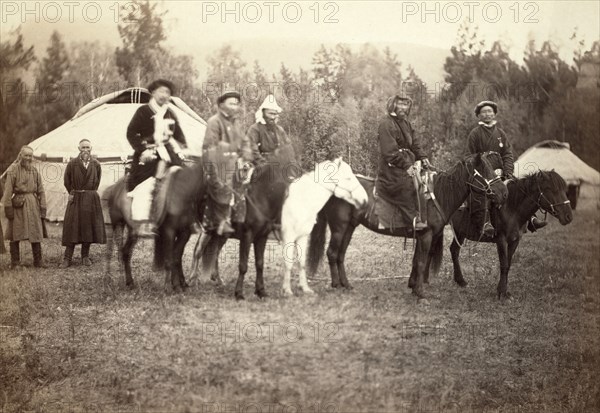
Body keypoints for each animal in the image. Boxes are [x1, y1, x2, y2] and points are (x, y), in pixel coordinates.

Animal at [107, 158, 209, 290]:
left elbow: (176, 257)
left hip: (132, 229)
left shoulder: (184, 232)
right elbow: (169, 259)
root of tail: (114, 187)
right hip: (117, 223)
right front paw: (170, 286)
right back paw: (110, 278)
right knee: (112, 250)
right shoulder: (169, 231)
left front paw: (180, 284)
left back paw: (129, 282)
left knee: (125, 252)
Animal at [280, 156, 366, 294]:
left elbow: (301, 262)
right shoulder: (288, 236)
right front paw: (287, 290)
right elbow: (288, 264)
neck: (301, 199)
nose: (365, 199)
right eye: (348, 178)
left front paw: (304, 288)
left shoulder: (301, 236)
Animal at [308, 153, 508, 298]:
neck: (438, 195)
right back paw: (336, 285)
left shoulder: (421, 236)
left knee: (340, 254)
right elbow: (421, 261)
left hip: (349, 227)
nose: (503, 192)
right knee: (332, 253)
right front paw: (420, 292)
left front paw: (413, 286)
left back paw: (346, 284)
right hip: (339, 227)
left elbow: (416, 260)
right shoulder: (426, 235)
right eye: (485, 171)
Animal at [436, 169, 572, 298]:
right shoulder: (501, 240)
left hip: (460, 232)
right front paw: (501, 292)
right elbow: (504, 264)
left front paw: (505, 291)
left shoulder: (515, 240)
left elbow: (508, 264)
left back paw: (460, 281)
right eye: (551, 189)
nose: (569, 216)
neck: (512, 209)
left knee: (454, 250)